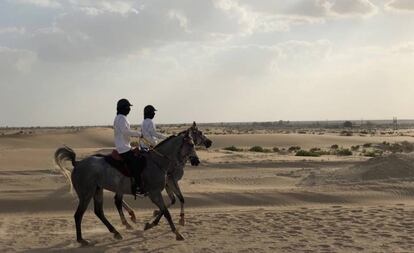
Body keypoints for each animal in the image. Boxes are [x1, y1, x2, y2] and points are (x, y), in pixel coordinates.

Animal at [54, 130, 200, 245]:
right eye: (192, 144)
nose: (196, 161)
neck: (157, 162)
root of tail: (77, 163)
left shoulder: (162, 189)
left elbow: (168, 207)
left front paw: (150, 224)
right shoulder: (155, 193)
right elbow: (167, 212)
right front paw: (177, 234)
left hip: (98, 190)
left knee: (99, 211)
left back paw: (116, 232)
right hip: (86, 193)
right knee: (79, 214)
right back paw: (82, 240)